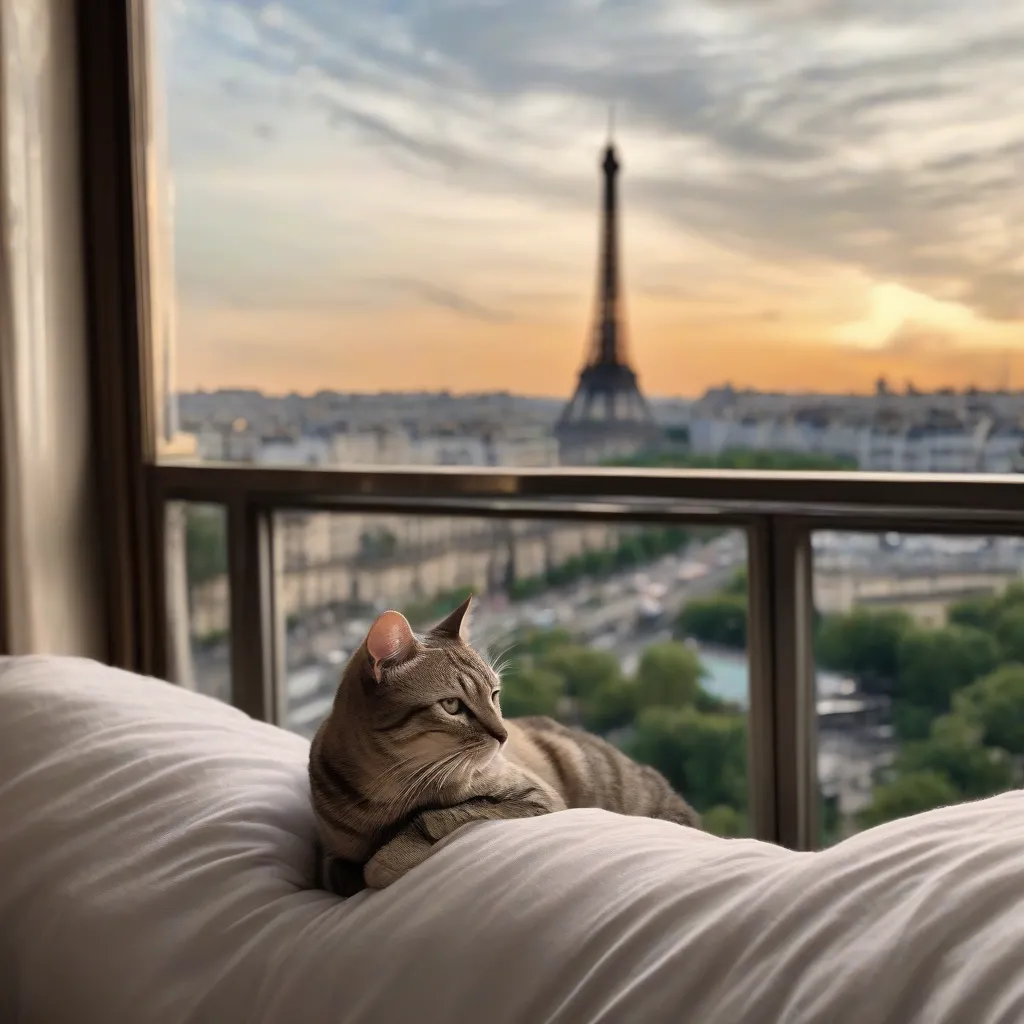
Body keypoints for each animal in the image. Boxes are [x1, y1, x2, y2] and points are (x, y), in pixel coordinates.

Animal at [307, 598, 700, 892]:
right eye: (452, 706)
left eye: (494, 695)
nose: (503, 735)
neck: (390, 790)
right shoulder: (328, 855)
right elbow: (336, 871)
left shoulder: (534, 798)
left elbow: (437, 816)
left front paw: (385, 859)